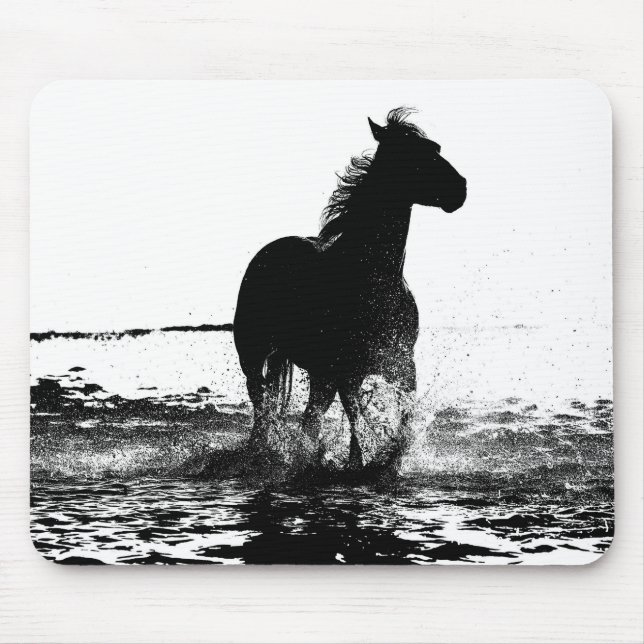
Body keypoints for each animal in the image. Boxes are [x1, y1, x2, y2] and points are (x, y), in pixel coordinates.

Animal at [234, 107, 467, 469]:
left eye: (435, 148)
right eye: (413, 154)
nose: (461, 188)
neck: (372, 279)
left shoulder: (401, 366)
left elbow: (400, 419)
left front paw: (386, 458)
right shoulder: (347, 371)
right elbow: (357, 420)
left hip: (318, 374)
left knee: (308, 417)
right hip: (255, 356)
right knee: (263, 410)